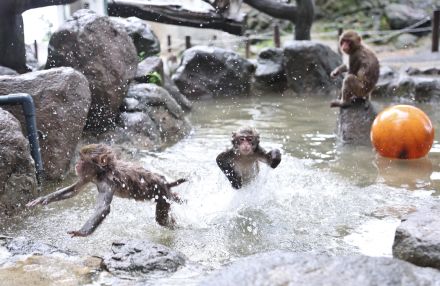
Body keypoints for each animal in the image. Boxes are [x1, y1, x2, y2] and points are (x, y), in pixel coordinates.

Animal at [27, 143, 186, 237]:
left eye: (83, 159)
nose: (77, 164)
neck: (102, 172)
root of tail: (165, 182)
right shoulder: (88, 177)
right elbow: (75, 190)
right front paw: (43, 199)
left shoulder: (106, 184)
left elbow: (103, 208)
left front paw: (81, 232)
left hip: (162, 194)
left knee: (161, 219)